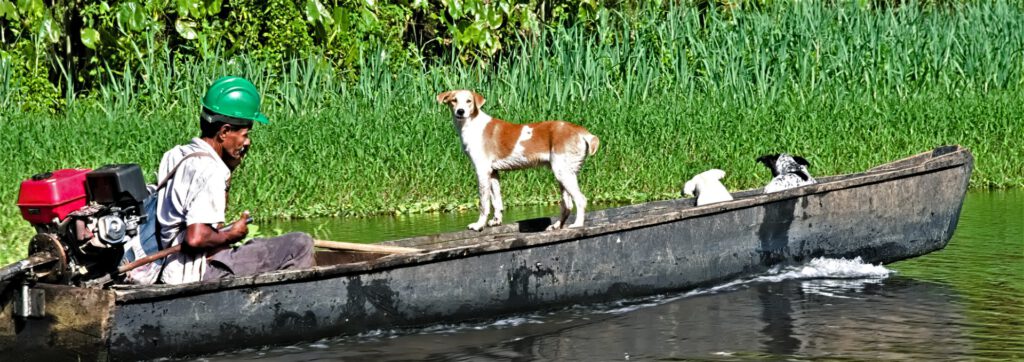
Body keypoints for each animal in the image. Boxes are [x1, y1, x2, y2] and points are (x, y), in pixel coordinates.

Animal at [434, 88, 598, 230]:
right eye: (454, 100)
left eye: (469, 101)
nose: (460, 111)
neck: (471, 125)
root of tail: (580, 131)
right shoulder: (493, 172)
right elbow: (497, 201)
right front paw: (496, 221)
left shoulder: (482, 171)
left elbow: (484, 204)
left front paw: (479, 225)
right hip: (564, 174)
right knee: (567, 205)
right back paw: (557, 226)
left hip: (563, 172)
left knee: (581, 200)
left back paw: (577, 225)